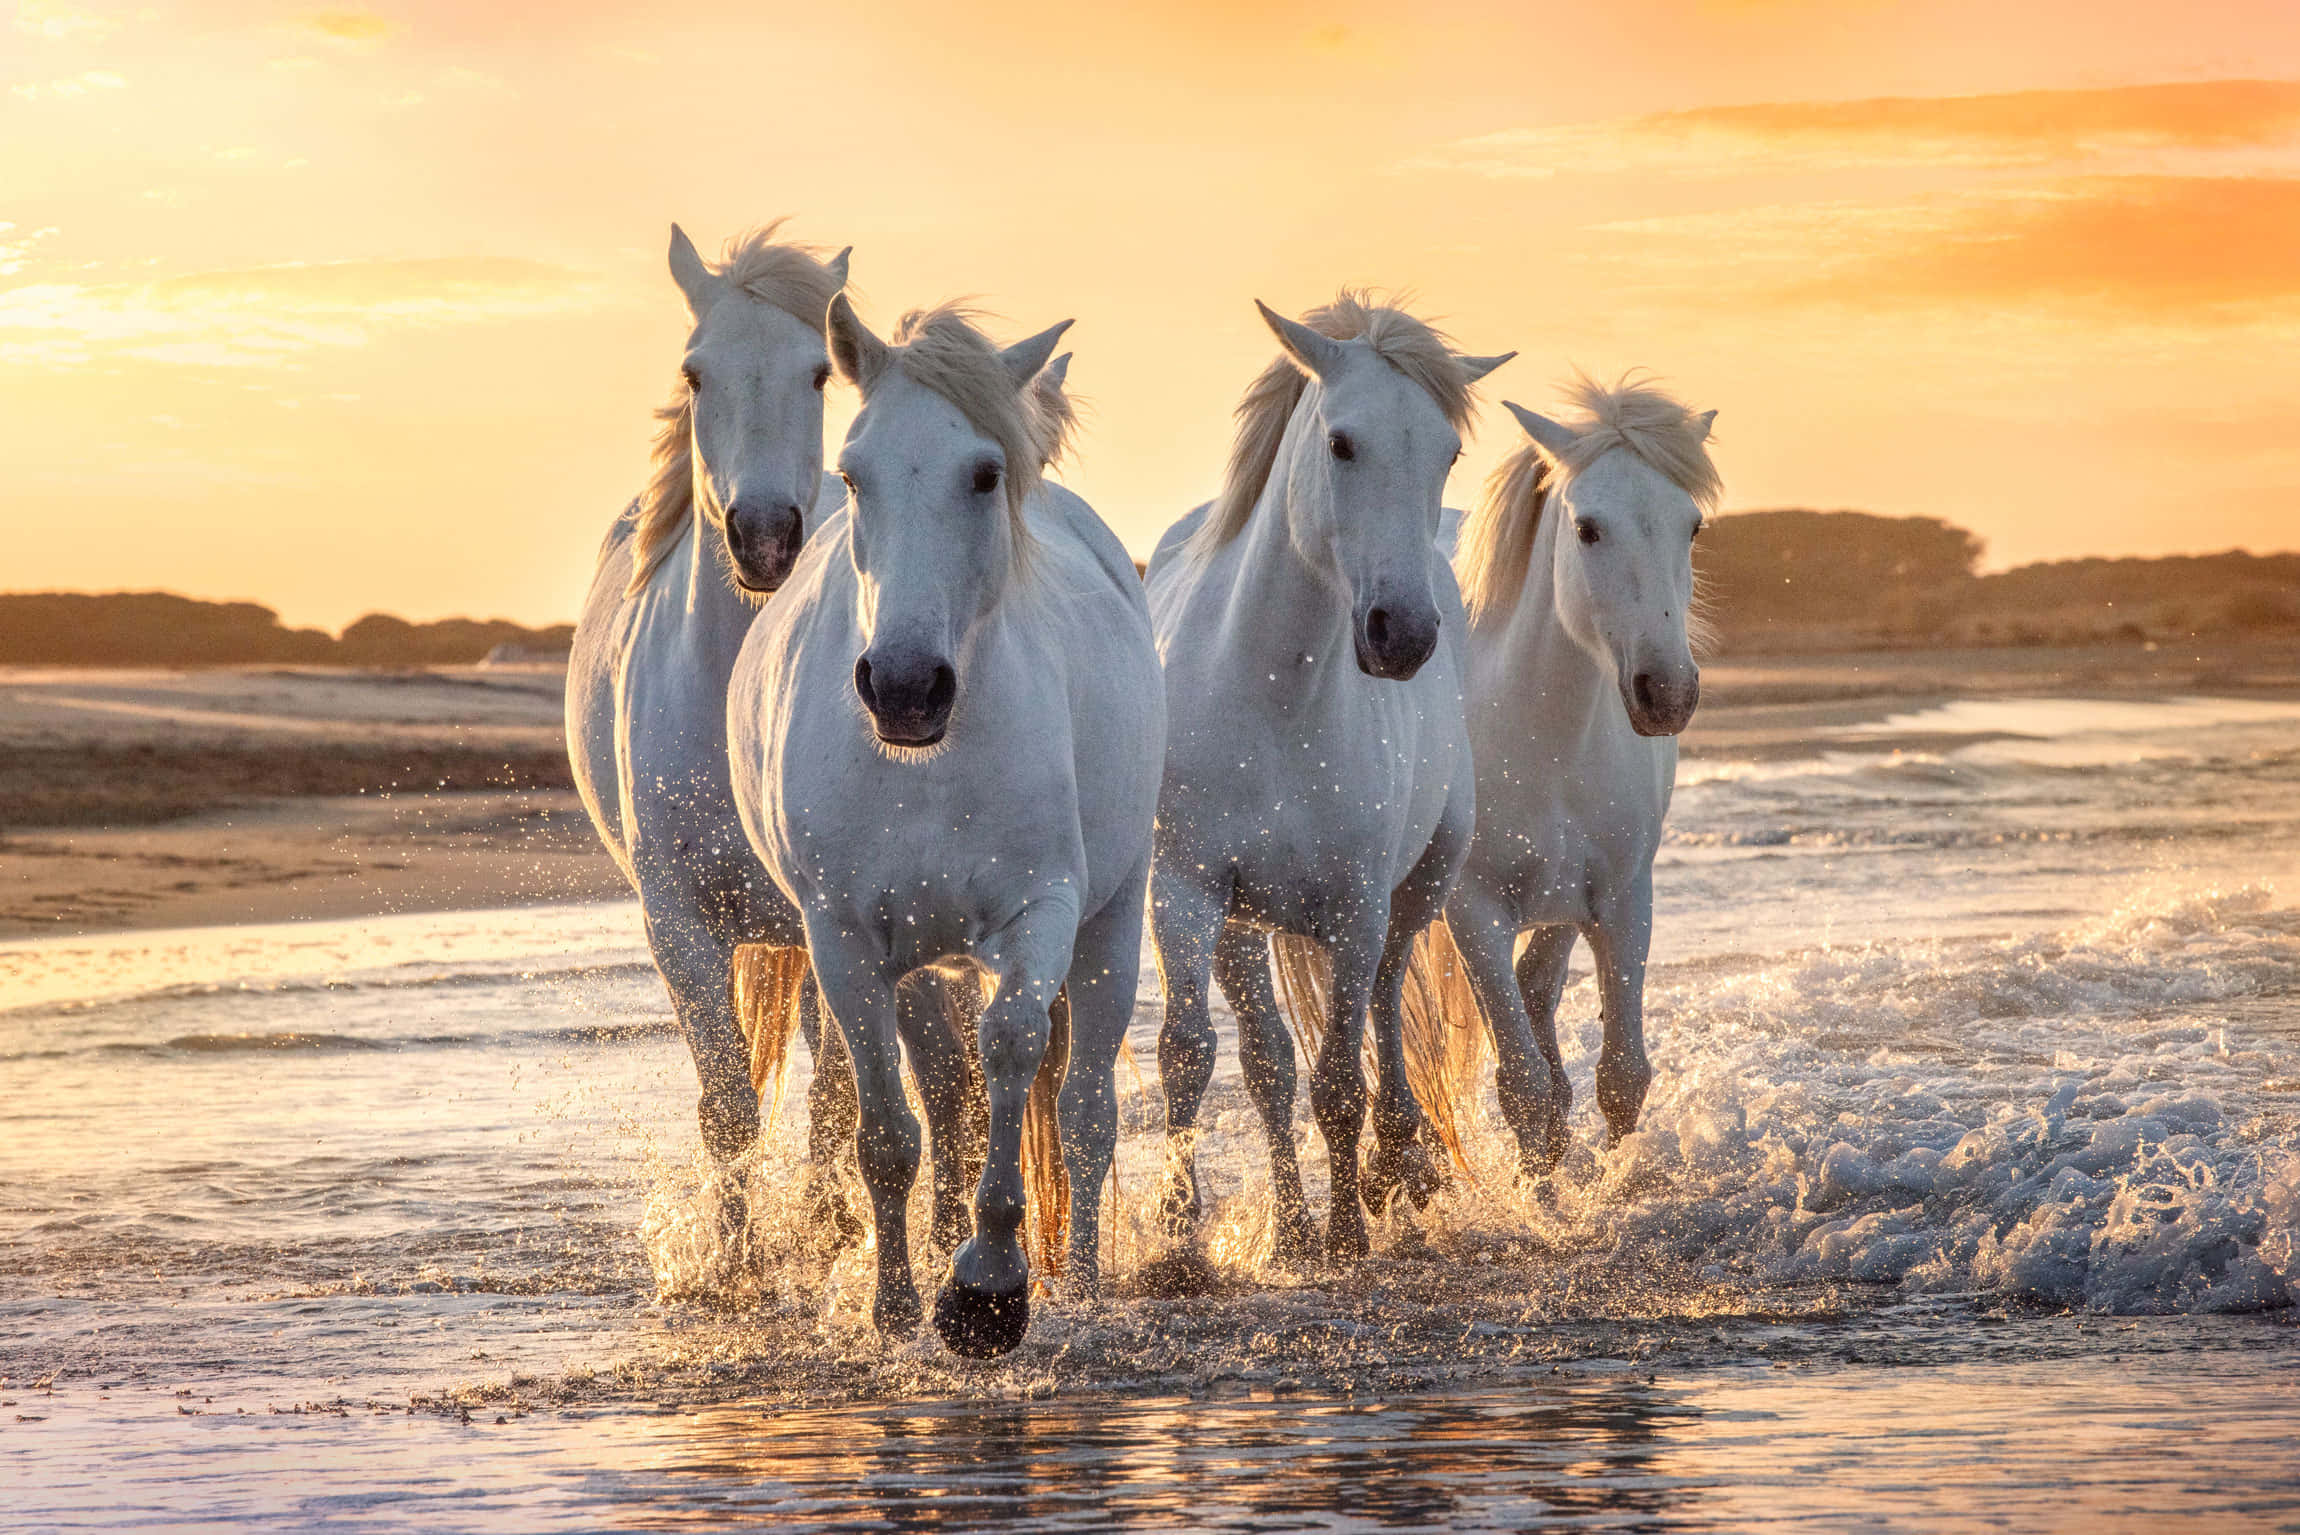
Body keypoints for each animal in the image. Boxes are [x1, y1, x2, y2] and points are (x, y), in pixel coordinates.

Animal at [565, 224, 984, 1249]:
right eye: (696, 371)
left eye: (817, 375)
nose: (763, 535)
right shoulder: (678, 926)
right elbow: (728, 1108)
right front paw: (739, 1258)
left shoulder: (839, 924)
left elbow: (841, 1098)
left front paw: (827, 1235)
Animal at [729, 298, 1163, 1357]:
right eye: (853, 473)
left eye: (984, 473)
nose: (904, 686)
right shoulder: (843, 939)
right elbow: (889, 1130)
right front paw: (894, 1307)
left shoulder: (1042, 913)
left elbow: (1012, 1049)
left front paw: (988, 1286)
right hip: (925, 961)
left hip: (1112, 922)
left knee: (1085, 1114)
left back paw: (1083, 1282)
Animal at [1144, 293, 1512, 1265]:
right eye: (1342, 442)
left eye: (1446, 451)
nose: (1402, 634)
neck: (1272, 692)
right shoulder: (1186, 890)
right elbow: (1192, 1054)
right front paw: (1178, 1241)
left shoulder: (1354, 907)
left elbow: (1343, 1074)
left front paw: (1349, 1227)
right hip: (1243, 925)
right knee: (1268, 1059)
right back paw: (1295, 1225)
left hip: (1415, 889)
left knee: (1383, 1005)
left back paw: (1395, 1165)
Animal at [1427, 376, 1720, 1171]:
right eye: (1587, 529)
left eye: (1691, 527)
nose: (1667, 692)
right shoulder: (1475, 913)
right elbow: (1524, 1092)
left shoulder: (1622, 898)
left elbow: (1622, 1075)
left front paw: (1614, 1184)